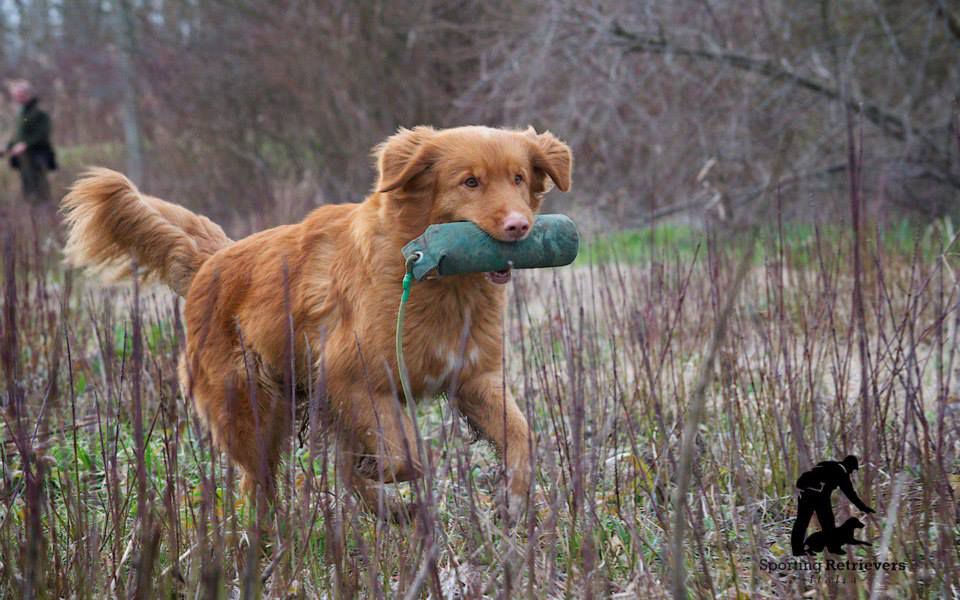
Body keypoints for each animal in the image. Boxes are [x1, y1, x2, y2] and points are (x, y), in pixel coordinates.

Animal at [63, 125, 572, 520]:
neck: (437, 280)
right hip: (252, 409)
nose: (519, 226)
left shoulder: (472, 377)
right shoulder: (355, 377)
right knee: (258, 482)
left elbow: (523, 435)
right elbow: (401, 456)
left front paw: (512, 499)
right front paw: (382, 474)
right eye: (470, 182)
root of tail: (213, 261)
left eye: (518, 177)